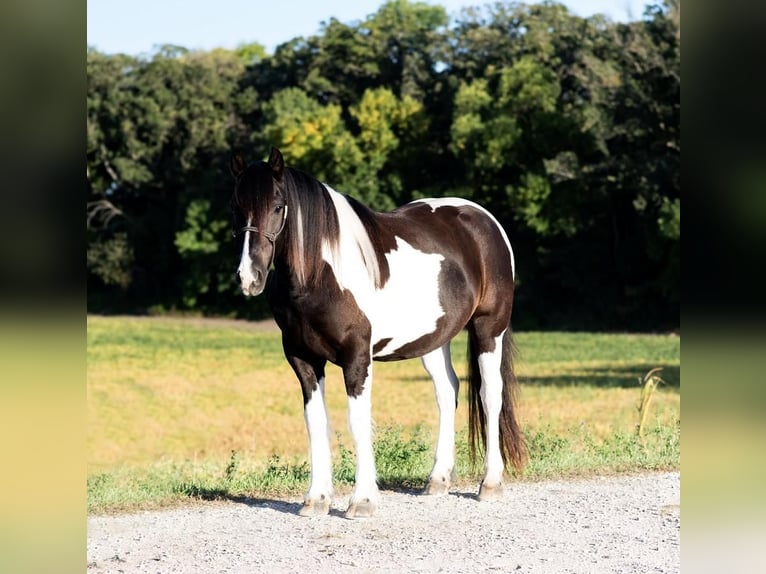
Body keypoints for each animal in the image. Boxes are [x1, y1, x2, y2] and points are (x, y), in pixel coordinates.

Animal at [230, 146, 528, 520]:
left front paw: (363, 500)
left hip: (489, 330)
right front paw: (316, 499)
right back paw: (439, 480)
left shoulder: (357, 357)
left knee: (491, 395)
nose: (249, 277)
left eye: (278, 205)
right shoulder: (303, 360)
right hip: (434, 341)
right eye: (236, 206)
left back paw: (490, 483)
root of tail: (485, 220)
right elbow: (316, 423)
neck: (320, 274)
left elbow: (358, 422)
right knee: (448, 392)